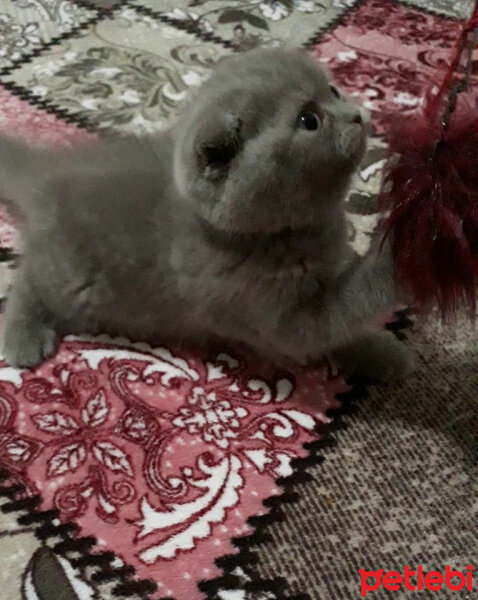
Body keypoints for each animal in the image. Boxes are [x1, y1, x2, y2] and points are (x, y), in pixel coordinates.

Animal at [0, 49, 412, 382]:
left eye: (334, 91)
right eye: (309, 120)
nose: (357, 115)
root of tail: (51, 173)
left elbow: (345, 328)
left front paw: (382, 353)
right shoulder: (277, 320)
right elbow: (341, 317)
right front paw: (403, 250)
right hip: (73, 282)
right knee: (28, 279)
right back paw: (22, 336)